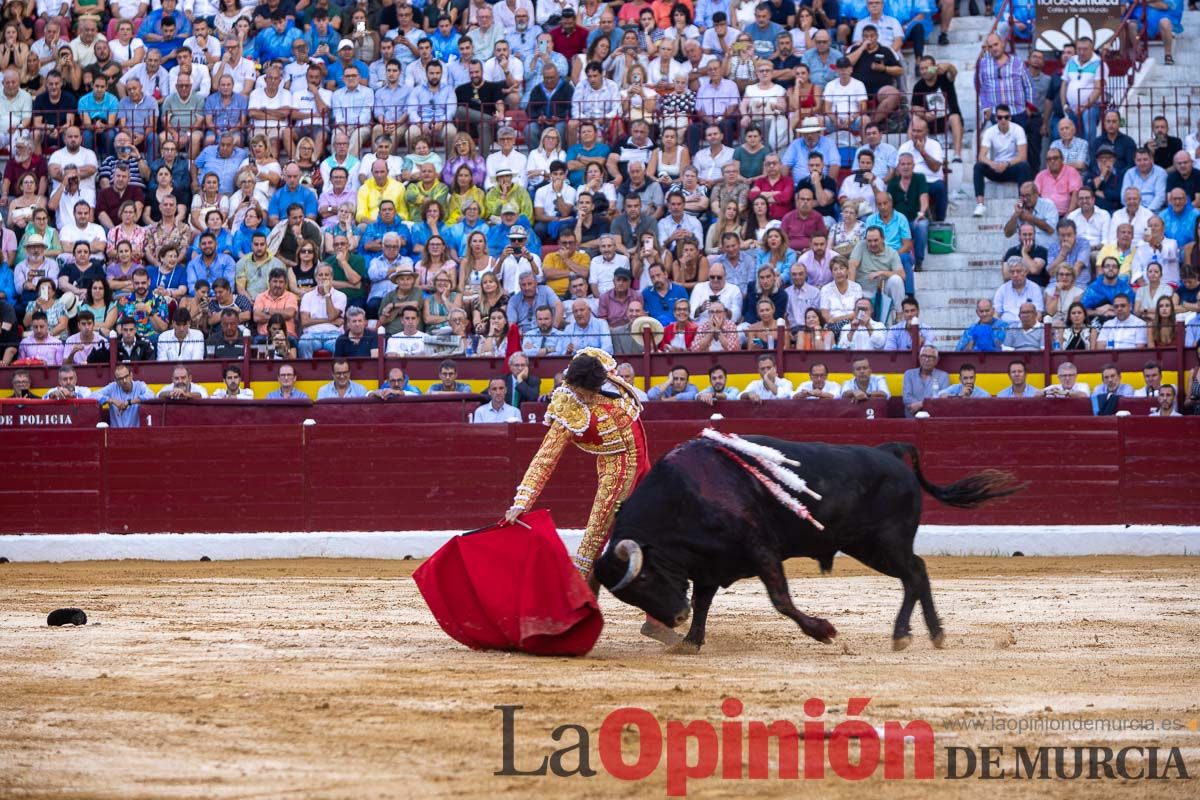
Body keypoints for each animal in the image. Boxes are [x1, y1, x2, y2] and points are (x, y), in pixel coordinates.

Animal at [592, 434, 1022, 652]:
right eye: (630, 596)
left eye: (645, 579)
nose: (674, 618)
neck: (683, 497)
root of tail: (889, 452)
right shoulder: (710, 565)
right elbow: (703, 601)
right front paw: (690, 641)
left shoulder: (760, 549)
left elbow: (780, 600)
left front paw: (822, 630)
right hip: (872, 546)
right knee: (916, 574)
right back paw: (927, 633)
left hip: (883, 544)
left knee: (915, 573)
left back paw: (908, 633)